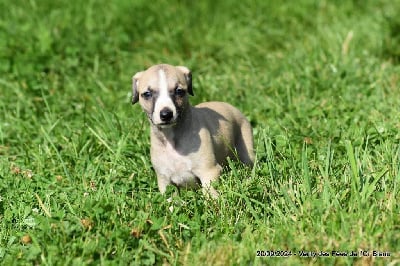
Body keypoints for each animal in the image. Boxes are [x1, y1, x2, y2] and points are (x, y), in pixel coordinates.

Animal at [133, 64, 255, 197]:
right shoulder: (164, 180)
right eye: (147, 94)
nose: (166, 114)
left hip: (246, 149)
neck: (171, 138)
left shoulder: (209, 171)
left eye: (179, 91)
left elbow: (210, 195)